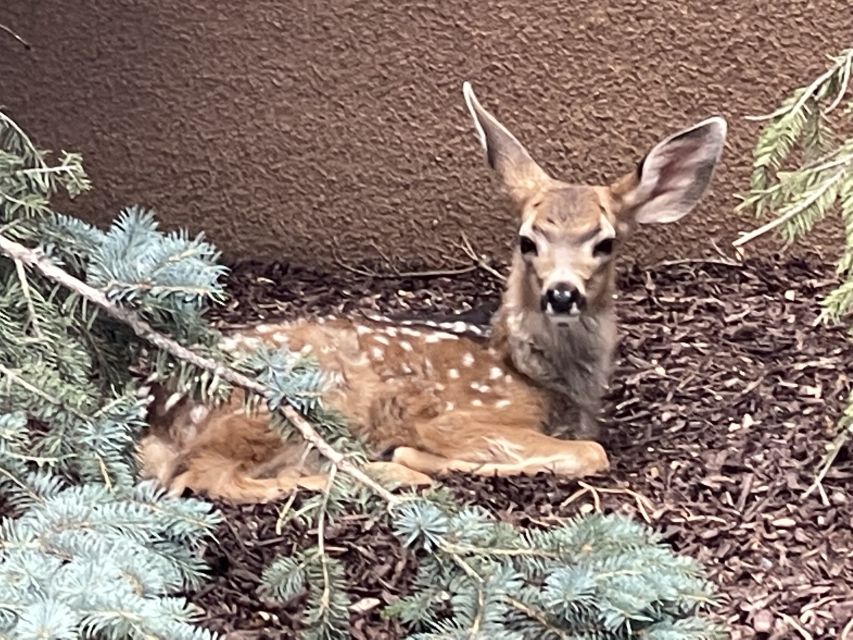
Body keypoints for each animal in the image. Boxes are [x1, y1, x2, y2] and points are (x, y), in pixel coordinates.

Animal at [135, 80, 724, 502]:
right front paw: (418, 460)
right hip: (285, 402)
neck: (542, 379)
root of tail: (161, 414)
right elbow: (590, 453)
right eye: (527, 240)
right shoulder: (458, 417)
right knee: (205, 476)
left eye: (605, 243)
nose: (562, 294)